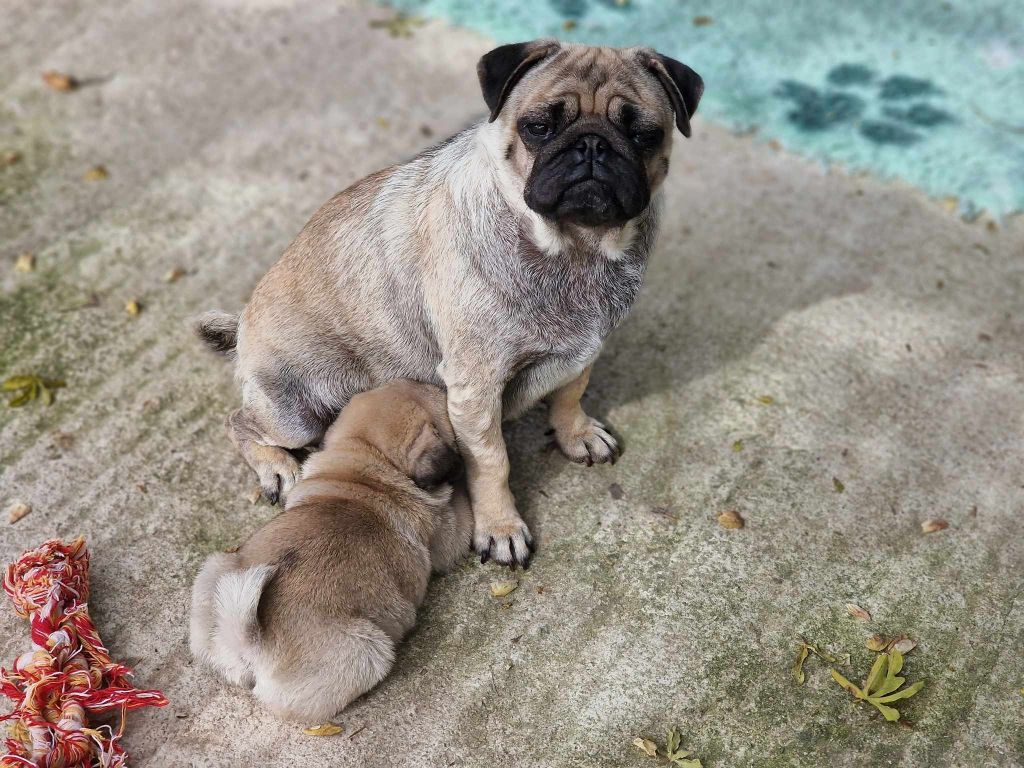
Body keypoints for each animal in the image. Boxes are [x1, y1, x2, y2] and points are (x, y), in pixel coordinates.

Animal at [190, 382, 468, 724]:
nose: (433, 382)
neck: (367, 464)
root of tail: (250, 643)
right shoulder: (451, 533)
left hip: (216, 568)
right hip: (369, 651)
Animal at [195, 41, 700, 573]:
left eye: (643, 134)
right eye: (538, 127)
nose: (592, 146)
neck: (575, 248)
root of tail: (243, 327)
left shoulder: (586, 348)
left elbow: (570, 393)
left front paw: (575, 432)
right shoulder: (475, 388)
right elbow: (493, 462)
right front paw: (500, 527)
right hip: (297, 412)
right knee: (240, 422)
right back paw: (278, 469)